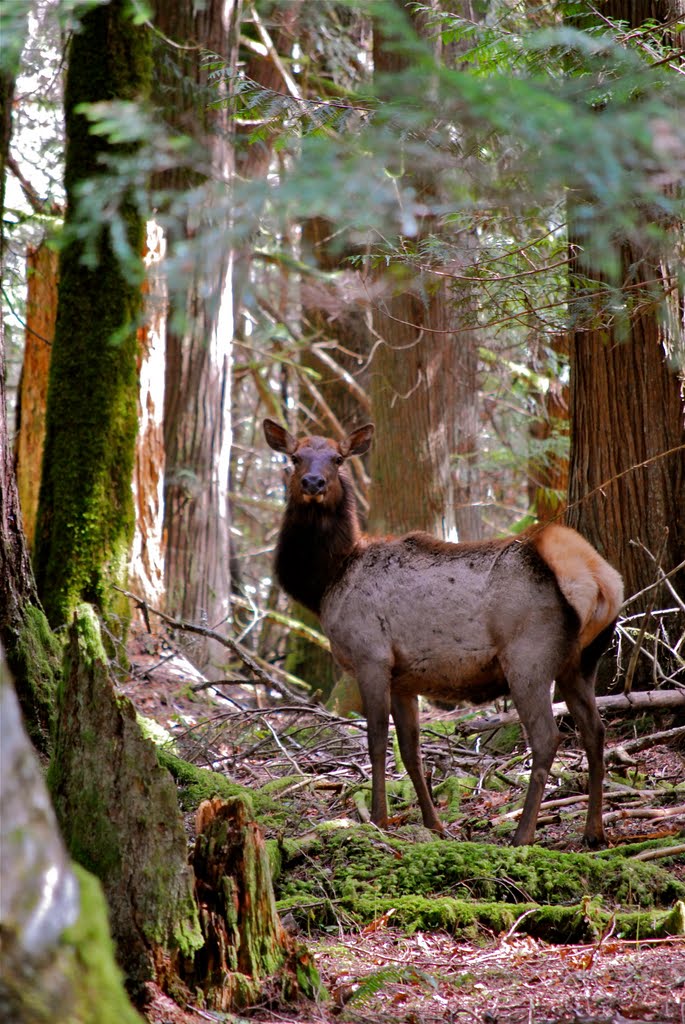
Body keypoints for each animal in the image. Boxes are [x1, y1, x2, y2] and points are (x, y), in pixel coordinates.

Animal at [260, 417, 618, 847]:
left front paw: (378, 818)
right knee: (595, 731)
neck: (327, 581)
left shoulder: (370, 655)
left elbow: (376, 741)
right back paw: (594, 832)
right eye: (295, 457)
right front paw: (434, 824)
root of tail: (598, 579)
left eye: (338, 458)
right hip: (580, 663)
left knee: (548, 738)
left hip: (528, 657)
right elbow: (410, 751)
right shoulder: (403, 677)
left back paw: (523, 834)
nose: (313, 482)